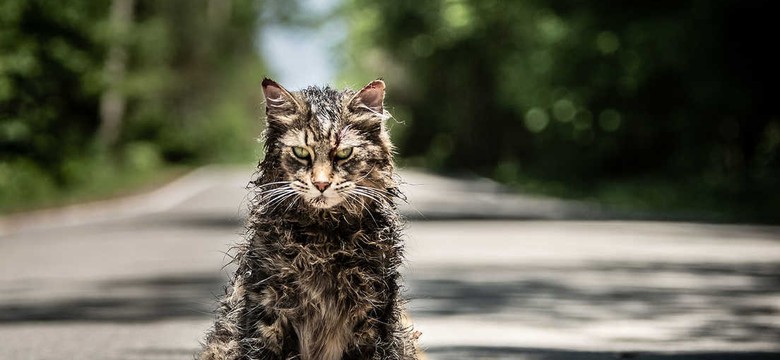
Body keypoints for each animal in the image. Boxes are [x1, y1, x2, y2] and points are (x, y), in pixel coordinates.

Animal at [200, 79, 420, 360]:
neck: (323, 238)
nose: (321, 184)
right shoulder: (267, 307)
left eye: (344, 153)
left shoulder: (372, 312)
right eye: (301, 152)